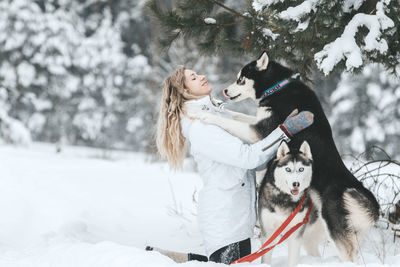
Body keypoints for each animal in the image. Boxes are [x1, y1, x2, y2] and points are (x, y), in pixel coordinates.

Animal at [195, 52, 382, 264]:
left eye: (241, 79)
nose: (225, 91)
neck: (277, 88)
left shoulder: (260, 132)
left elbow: (228, 121)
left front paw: (205, 115)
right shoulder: (259, 124)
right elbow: (235, 114)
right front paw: (215, 106)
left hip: (336, 231)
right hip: (315, 233)